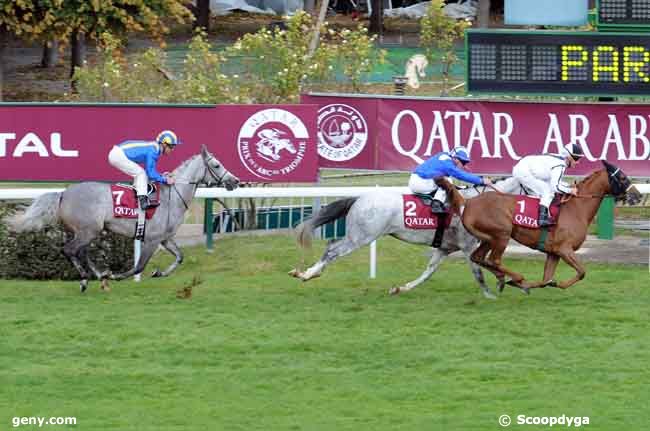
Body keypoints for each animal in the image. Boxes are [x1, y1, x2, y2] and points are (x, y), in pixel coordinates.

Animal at [7, 146, 238, 294]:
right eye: (216, 165)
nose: (234, 181)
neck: (172, 196)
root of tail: (63, 193)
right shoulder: (151, 239)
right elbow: (139, 266)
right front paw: (117, 276)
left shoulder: (165, 238)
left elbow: (179, 257)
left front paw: (159, 272)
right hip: (88, 230)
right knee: (69, 250)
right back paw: (87, 279)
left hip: (87, 231)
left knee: (81, 252)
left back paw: (99, 275)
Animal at [286, 177, 520, 298]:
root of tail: (358, 198)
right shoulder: (467, 245)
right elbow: (478, 273)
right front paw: (492, 294)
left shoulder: (445, 248)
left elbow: (428, 273)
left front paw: (400, 288)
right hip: (362, 236)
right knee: (332, 249)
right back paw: (308, 274)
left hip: (360, 235)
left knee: (332, 246)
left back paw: (308, 273)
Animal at [438, 160, 640, 296]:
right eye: (622, 177)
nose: (636, 196)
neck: (576, 208)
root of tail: (468, 202)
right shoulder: (564, 249)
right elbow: (582, 272)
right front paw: (554, 284)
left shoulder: (554, 252)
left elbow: (546, 279)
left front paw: (535, 285)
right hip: (502, 234)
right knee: (494, 260)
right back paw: (516, 277)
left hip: (489, 238)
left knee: (479, 258)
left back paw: (505, 280)